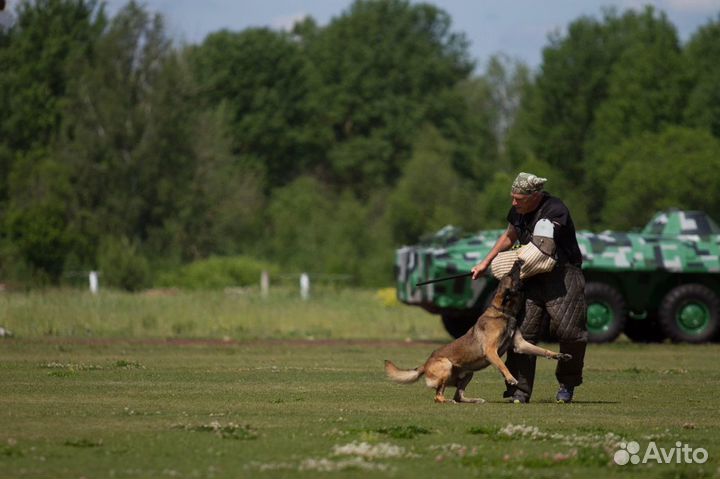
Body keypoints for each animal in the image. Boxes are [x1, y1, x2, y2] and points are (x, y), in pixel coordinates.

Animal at [386, 260, 572, 404]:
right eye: (511, 275)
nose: (518, 261)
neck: (503, 312)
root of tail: (425, 364)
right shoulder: (491, 351)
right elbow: (503, 365)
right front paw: (511, 378)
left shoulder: (520, 345)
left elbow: (542, 350)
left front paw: (559, 355)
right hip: (447, 366)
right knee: (438, 396)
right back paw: (448, 401)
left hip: (468, 373)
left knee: (459, 395)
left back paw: (473, 400)